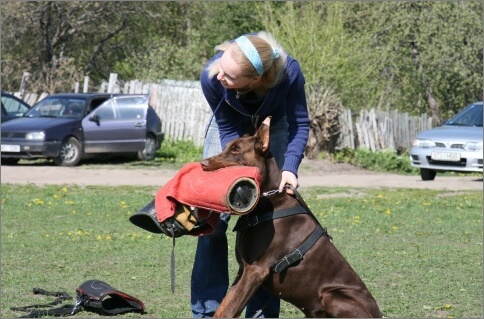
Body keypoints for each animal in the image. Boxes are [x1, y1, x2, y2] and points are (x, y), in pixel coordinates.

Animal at [200, 118, 382, 319]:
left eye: (235, 150)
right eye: (227, 147)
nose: (203, 163)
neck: (269, 201)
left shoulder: (255, 270)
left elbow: (229, 310)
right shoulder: (243, 270)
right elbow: (223, 307)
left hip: (333, 295)